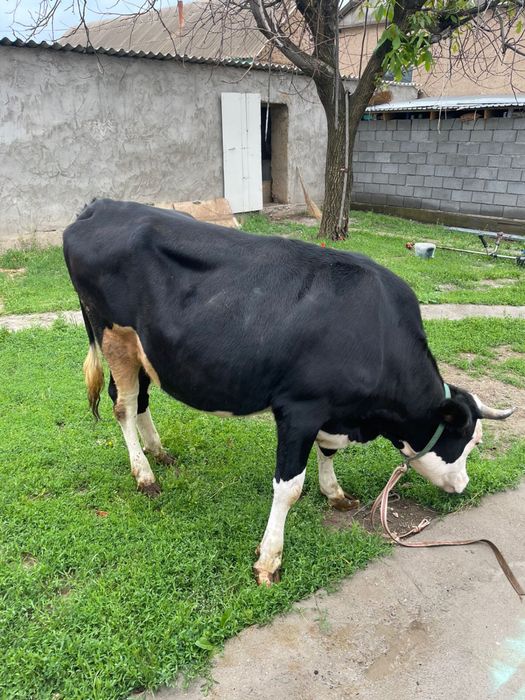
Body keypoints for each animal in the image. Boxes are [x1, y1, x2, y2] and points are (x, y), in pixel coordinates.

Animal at [63, 199, 514, 586]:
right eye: (467, 442)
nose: (463, 486)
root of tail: (99, 206)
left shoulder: (333, 411)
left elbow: (328, 453)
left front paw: (335, 494)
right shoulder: (300, 409)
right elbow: (288, 487)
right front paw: (269, 560)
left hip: (143, 349)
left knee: (140, 400)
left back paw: (158, 451)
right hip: (113, 335)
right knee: (123, 406)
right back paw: (145, 475)